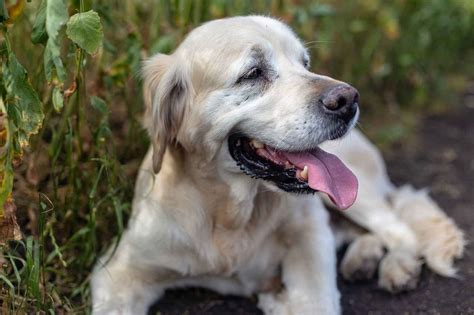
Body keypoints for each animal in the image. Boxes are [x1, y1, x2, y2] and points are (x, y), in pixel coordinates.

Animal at [90, 16, 464, 314]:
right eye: (253, 73)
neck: (229, 217)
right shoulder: (119, 271)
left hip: (355, 194)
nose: (349, 100)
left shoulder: (310, 232)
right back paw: (363, 257)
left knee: (397, 226)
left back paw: (398, 264)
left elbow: (316, 300)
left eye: (305, 62)